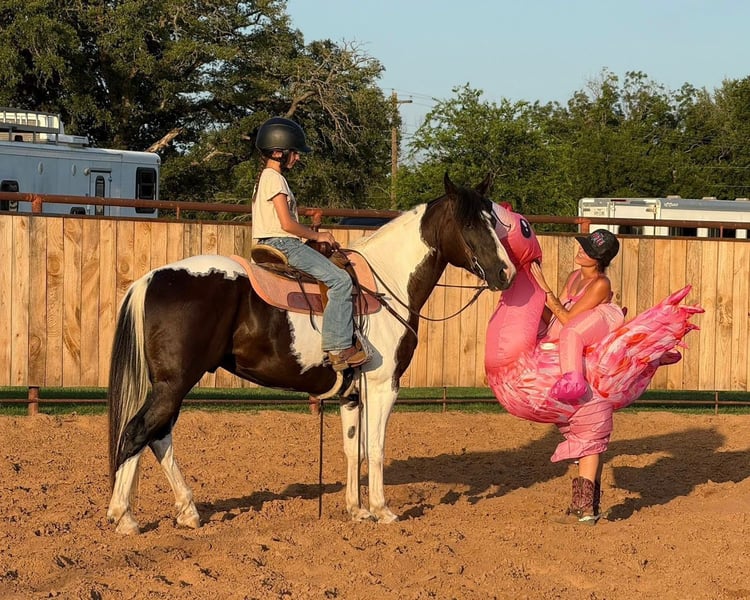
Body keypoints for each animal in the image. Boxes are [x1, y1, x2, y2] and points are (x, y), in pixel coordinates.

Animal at [106, 173, 517, 534]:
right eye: (470, 224)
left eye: (494, 221)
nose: (505, 272)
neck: (386, 283)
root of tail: (152, 277)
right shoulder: (383, 386)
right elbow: (376, 448)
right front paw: (382, 510)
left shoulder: (353, 395)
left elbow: (354, 451)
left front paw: (357, 510)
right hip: (175, 383)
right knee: (139, 432)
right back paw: (124, 516)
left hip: (171, 385)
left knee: (158, 437)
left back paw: (187, 511)